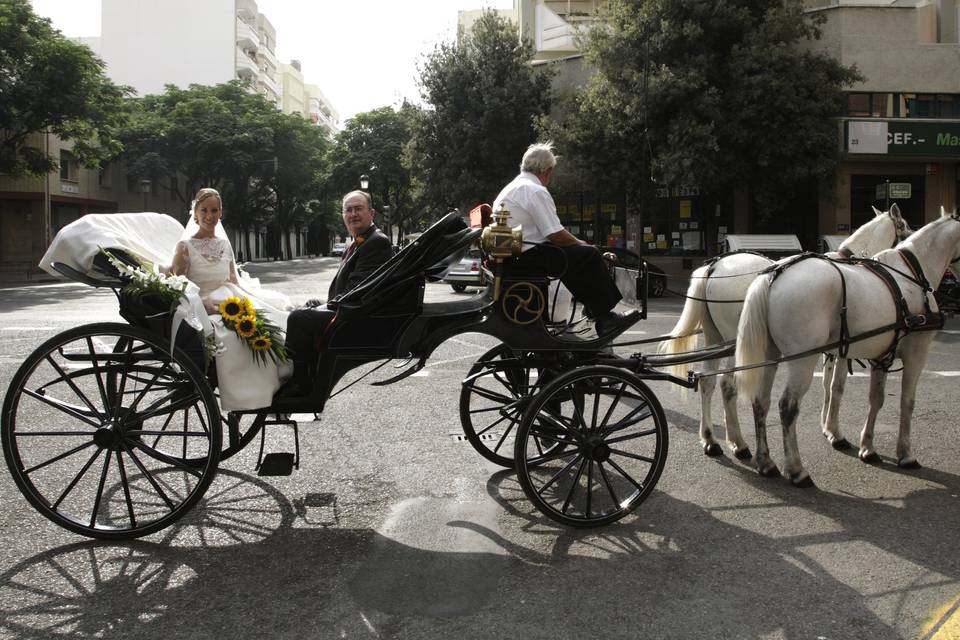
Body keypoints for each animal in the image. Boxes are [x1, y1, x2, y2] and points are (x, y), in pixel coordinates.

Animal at [660, 205, 908, 456]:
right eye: (904, 227)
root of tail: (714, 266)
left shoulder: (830, 349)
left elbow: (827, 385)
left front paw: (827, 426)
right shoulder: (841, 349)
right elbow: (836, 387)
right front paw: (834, 432)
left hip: (714, 337)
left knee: (707, 383)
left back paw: (710, 439)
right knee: (727, 386)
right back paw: (738, 442)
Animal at [740, 208, 956, 488]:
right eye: (904, 226)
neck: (910, 276)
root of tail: (773, 275)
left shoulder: (874, 355)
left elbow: (870, 398)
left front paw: (863, 445)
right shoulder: (915, 354)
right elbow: (905, 402)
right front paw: (904, 454)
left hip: (769, 356)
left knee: (760, 402)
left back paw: (764, 461)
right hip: (801, 360)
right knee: (786, 406)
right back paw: (796, 469)